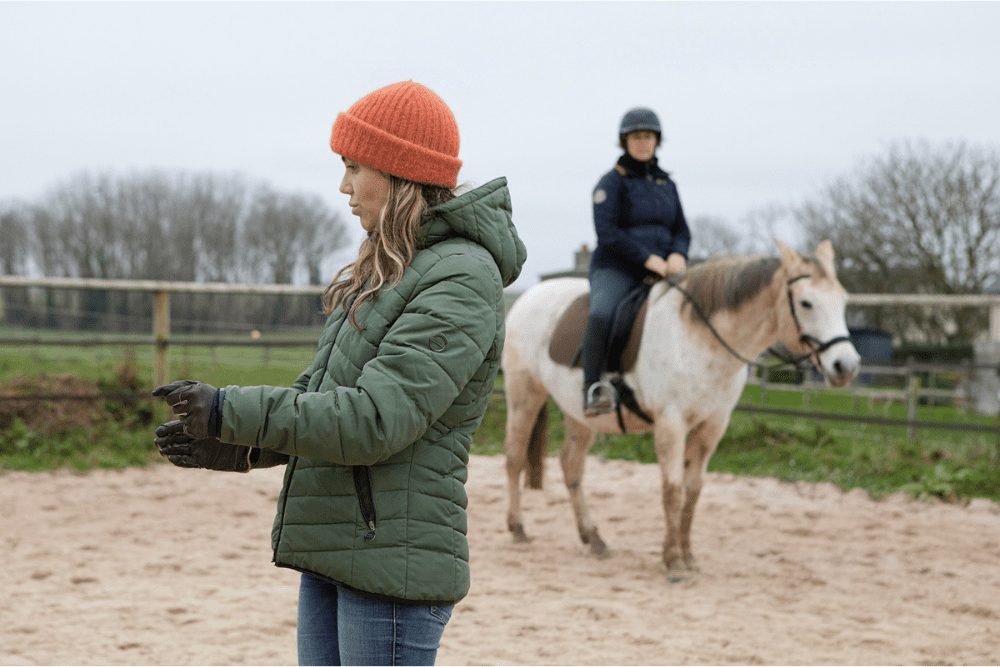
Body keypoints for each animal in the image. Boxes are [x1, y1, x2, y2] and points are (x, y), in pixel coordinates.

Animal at [501, 240, 861, 581]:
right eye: (806, 303)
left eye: (843, 301)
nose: (846, 366)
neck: (702, 341)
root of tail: (526, 297)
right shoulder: (670, 423)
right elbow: (672, 489)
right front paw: (672, 561)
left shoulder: (712, 426)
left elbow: (693, 490)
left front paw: (687, 557)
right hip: (524, 395)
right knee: (515, 457)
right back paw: (518, 529)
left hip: (581, 415)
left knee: (571, 467)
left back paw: (593, 538)